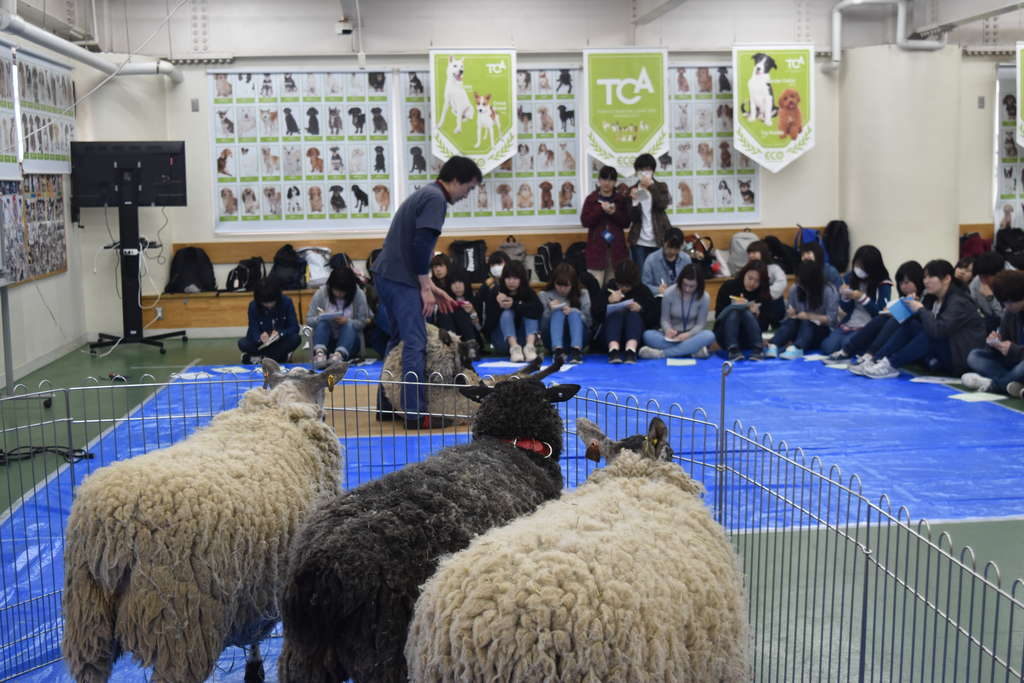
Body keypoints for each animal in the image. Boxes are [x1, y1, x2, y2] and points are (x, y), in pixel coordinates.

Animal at [61, 360, 348, 679]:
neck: (279, 408)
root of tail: (114, 532)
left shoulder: (257, 588)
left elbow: (254, 637)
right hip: (180, 630)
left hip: (88, 622)